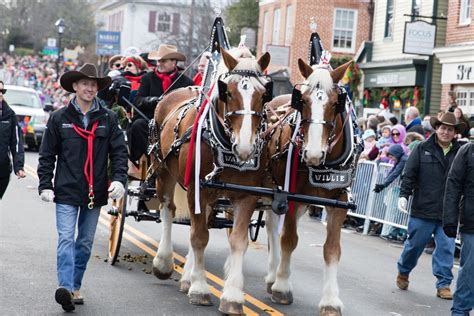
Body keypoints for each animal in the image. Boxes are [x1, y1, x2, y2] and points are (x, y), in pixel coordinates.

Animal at [151, 48, 270, 314]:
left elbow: (238, 241)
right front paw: (200, 289)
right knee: (168, 210)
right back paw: (164, 263)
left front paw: (233, 297)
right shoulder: (197, 188)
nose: (245, 148)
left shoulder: (246, 195)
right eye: (228, 91)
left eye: (264, 94)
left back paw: (186, 276)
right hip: (163, 172)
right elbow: (199, 237)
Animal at [264, 58, 354, 314]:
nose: (313, 154)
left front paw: (331, 300)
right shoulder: (291, 195)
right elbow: (288, 239)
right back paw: (273, 275)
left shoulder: (339, 201)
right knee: (272, 228)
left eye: (335, 104)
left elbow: (332, 249)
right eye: (302, 101)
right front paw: (282, 287)